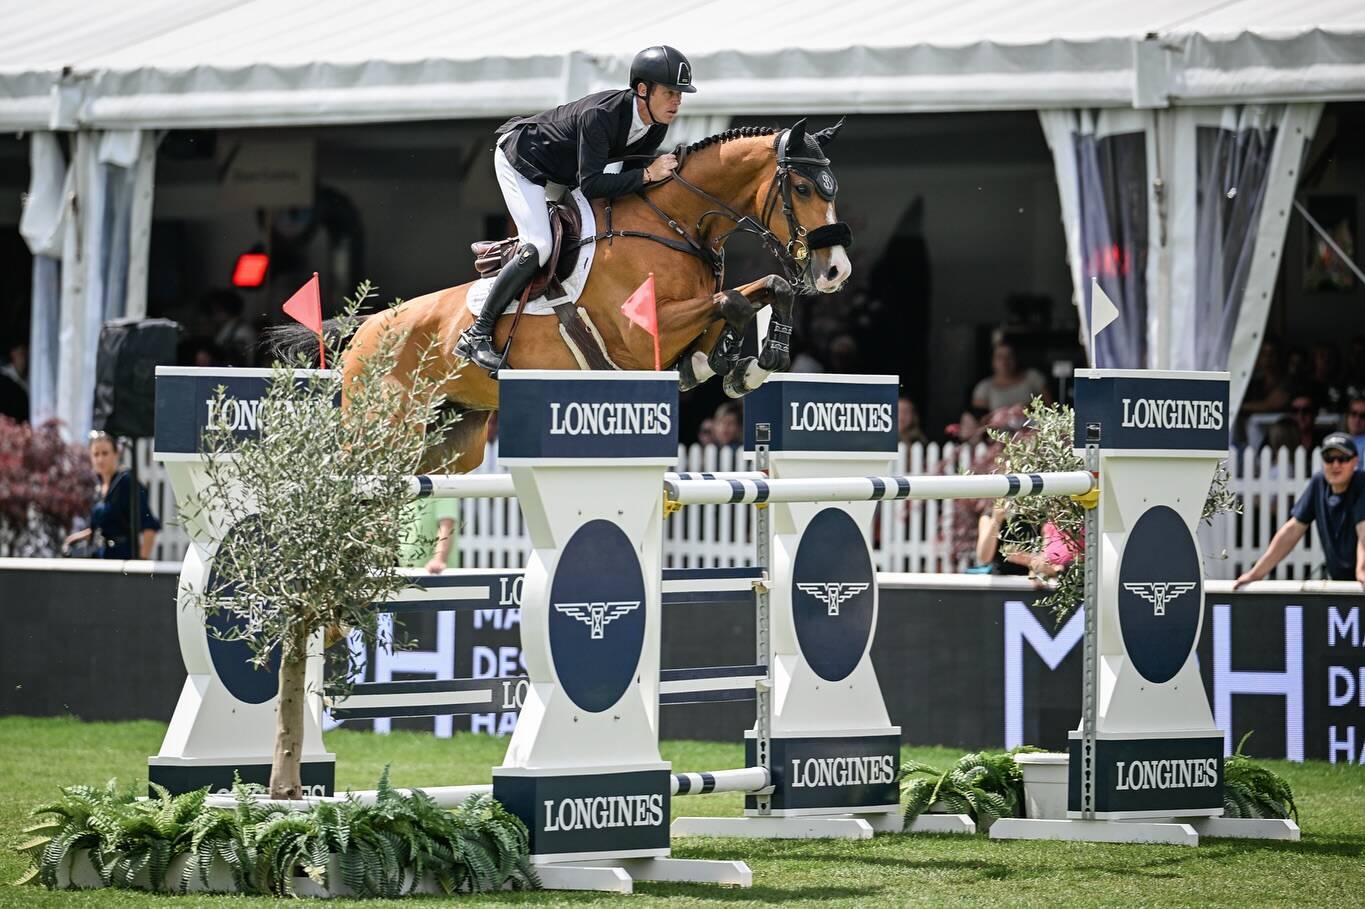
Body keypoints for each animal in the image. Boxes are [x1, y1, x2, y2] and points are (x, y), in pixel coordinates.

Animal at [279, 118, 853, 473]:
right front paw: (743, 363)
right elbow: (734, 301)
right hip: (380, 430)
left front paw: (748, 363)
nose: (836, 271)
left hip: (449, 441)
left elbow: (765, 291)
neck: (676, 224)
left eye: (832, 189)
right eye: (803, 189)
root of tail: (366, 329)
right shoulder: (641, 333)